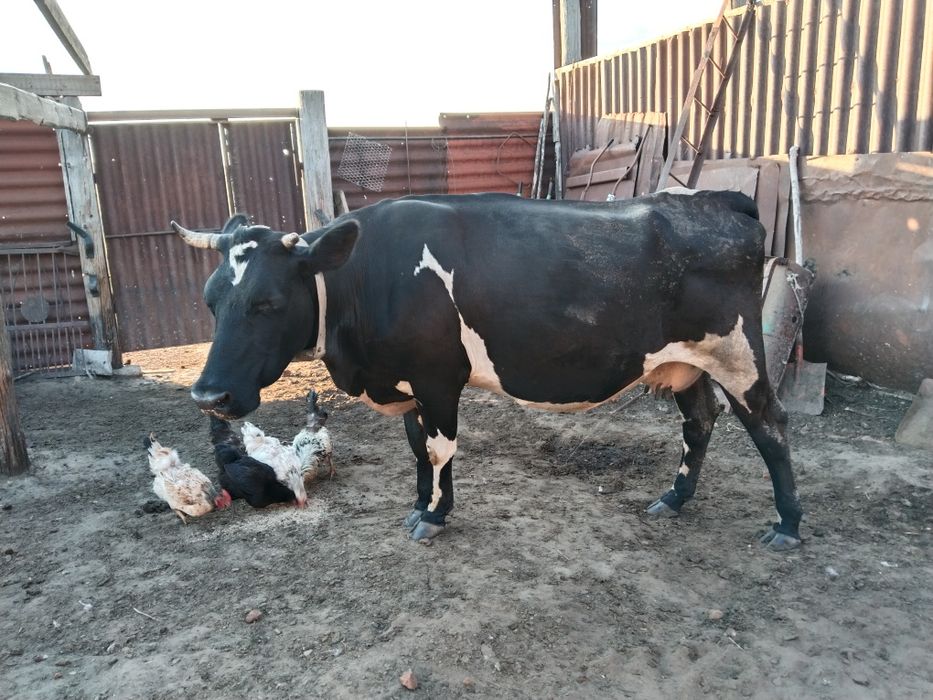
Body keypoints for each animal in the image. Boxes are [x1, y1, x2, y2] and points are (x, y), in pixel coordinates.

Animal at [172, 191, 803, 551]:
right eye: (209, 299)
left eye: (268, 303)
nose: (208, 396)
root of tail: (718, 200)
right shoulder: (408, 384)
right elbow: (415, 449)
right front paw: (418, 506)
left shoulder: (436, 378)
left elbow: (439, 449)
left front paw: (434, 516)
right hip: (687, 364)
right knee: (699, 421)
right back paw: (674, 499)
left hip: (739, 354)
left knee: (769, 425)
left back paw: (788, 525)